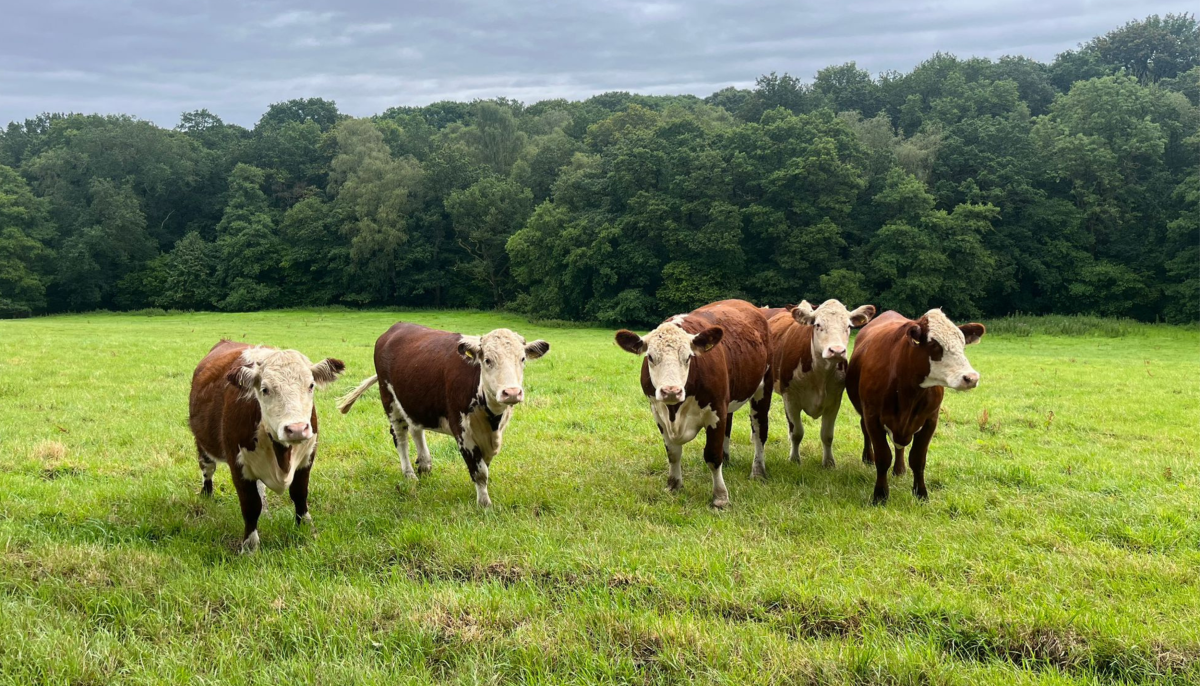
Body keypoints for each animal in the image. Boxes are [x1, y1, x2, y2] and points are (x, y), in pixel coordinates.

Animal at [187, 340, 345, 554]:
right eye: (265, 389)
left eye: (311, 385)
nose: (296, 429)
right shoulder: (238, 465)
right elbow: (250, 505)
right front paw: (250, 546)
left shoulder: (307, 458)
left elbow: (299, 494)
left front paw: (307, 528)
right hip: (202, 443)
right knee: (207, 469)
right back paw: (206, 493)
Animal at [333, 323, 549, 508]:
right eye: (487, 360)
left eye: (522, 359)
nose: (511, 392)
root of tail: (397, 327)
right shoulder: (462, 430)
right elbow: (479, 471)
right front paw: (484, 504)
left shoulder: (493, 434)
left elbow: (484, 465)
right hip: (389, 399)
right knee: (400, 437)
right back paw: (409, 474)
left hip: (413, 401)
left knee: (416, 429)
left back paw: (425, 464)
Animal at [614, 297, 772, 506]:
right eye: (650, 357)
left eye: (688, 356)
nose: (670, 391)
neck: (675, 412)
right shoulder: (658, 413)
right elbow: (673, 453)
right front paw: (674, 485)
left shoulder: (716, 410)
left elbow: (712, 455)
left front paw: (720, 497)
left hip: (763, 388)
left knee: (760, 430)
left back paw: (758, 471)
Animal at [772, 297, 878, 470]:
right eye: (818, 325)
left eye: (848, 326)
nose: (837, 350)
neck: (820, 373)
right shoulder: (790, 398)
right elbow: (797, 433)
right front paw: (794, 459)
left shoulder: (834, 401)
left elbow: (827, 435)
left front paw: (828, 462)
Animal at [844, 311, 984, 503]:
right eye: (934, 344)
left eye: (962, 343)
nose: (971, 378)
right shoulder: (872, 416)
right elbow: (883, 457)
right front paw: (880, 495)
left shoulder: (930, 420)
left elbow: (918, 459)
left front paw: (921, 493)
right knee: (865, 431)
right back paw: (868, 458)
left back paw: (899, 469)